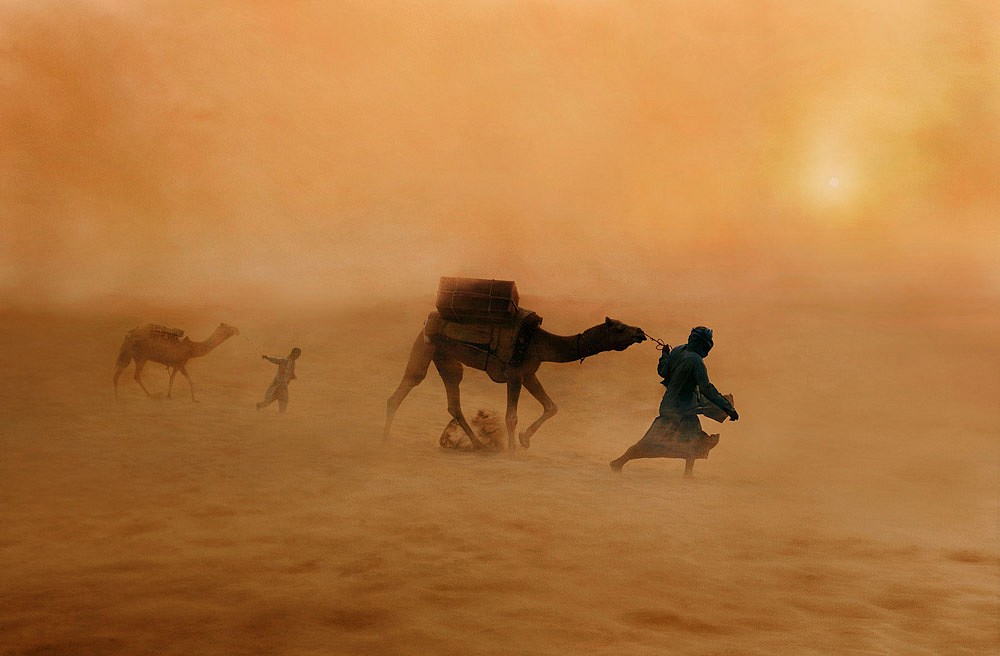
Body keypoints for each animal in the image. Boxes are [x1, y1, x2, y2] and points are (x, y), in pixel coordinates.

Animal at [382, 318, 648, 452]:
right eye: (620, 327)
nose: (640, 332)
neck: (541, 343)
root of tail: (428, 320)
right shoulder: (515, 374)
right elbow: (511, 416)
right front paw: (513, 447)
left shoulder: (529, 373)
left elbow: (552, 406)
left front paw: (524, 440)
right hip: (427, 344)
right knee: (411, 382)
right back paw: (385, 437)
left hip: (445, 356)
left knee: (452, 397)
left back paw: (478, 444)